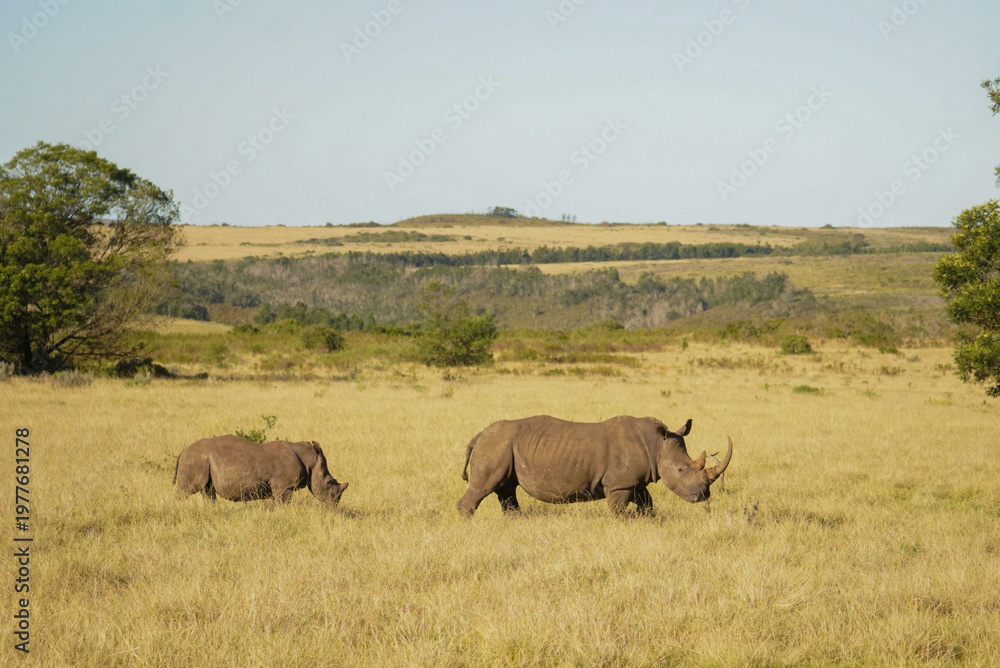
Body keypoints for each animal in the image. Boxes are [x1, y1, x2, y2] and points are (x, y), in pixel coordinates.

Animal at [174, 435, 348, 504]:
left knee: (208, 492)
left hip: (202, 462)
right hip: (195, 461)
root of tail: (182, 452)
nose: (334, 504)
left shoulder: (280, 488)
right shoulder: (284, 487)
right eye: (329, 482)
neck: (309, 459)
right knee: (185, 491)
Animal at [457, 416, 731, 518]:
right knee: (484, 487)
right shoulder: (619, 484)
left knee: (506, 488)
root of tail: (478, 435)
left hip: (502, 447)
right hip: (495, 446)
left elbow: (647, 504)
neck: (655, 446)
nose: (703, 495)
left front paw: (648, 520)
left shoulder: (634, 481)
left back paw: (515, 520)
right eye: (681, 470)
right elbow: (618, 511)